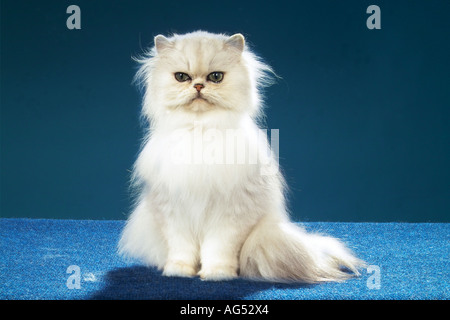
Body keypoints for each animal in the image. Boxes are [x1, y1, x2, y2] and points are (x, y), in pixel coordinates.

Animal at [118, 30, 364, 282]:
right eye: (181, 77)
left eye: (216, 77)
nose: (198, 85)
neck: (201, 131)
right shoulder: (173, 213)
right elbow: (181, 250)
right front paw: (179, 272)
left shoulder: (230, 214)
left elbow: (218, 249)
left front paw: (217, 274)